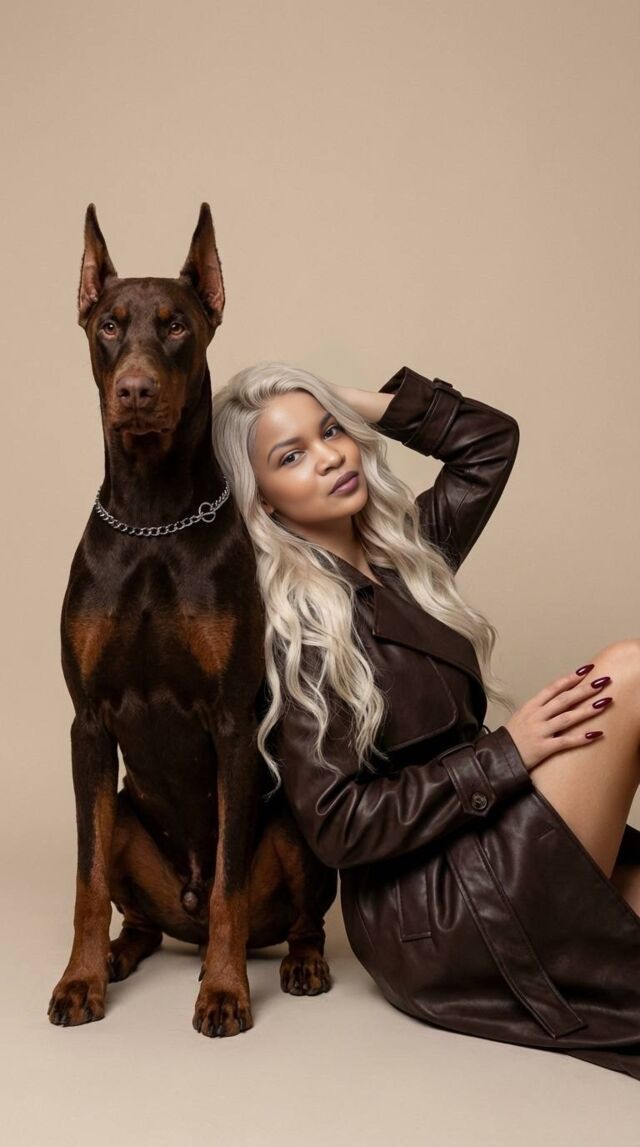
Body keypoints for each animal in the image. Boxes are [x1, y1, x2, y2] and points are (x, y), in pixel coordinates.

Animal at [47, 203, 337, 1037]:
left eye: (177, 325)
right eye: (110, 325)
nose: (136, 390)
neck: (152, 518)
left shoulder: (233, 720)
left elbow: (229, 887)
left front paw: (226, 990)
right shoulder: (87, 723)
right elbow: (83, 883)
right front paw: (78, 979)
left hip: (294, 825)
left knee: (289, 914)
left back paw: (296, 962)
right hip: (119, 811)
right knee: (137, 908)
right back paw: (118, 954)